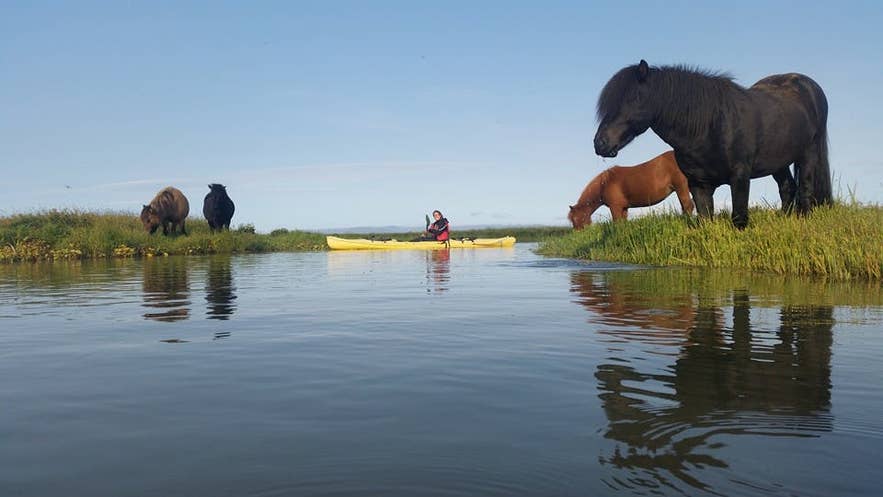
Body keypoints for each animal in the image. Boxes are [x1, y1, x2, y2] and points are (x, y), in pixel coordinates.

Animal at [593, 60, 830, 229]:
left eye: (633, 98)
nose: (600, 143)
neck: (710, 126)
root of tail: (810, 87)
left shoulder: (740, 177)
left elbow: (739, 219)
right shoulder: (698, 185)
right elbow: (705, 220)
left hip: (809, 153)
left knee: (805, 189)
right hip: (778, 161)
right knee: (787, 187)